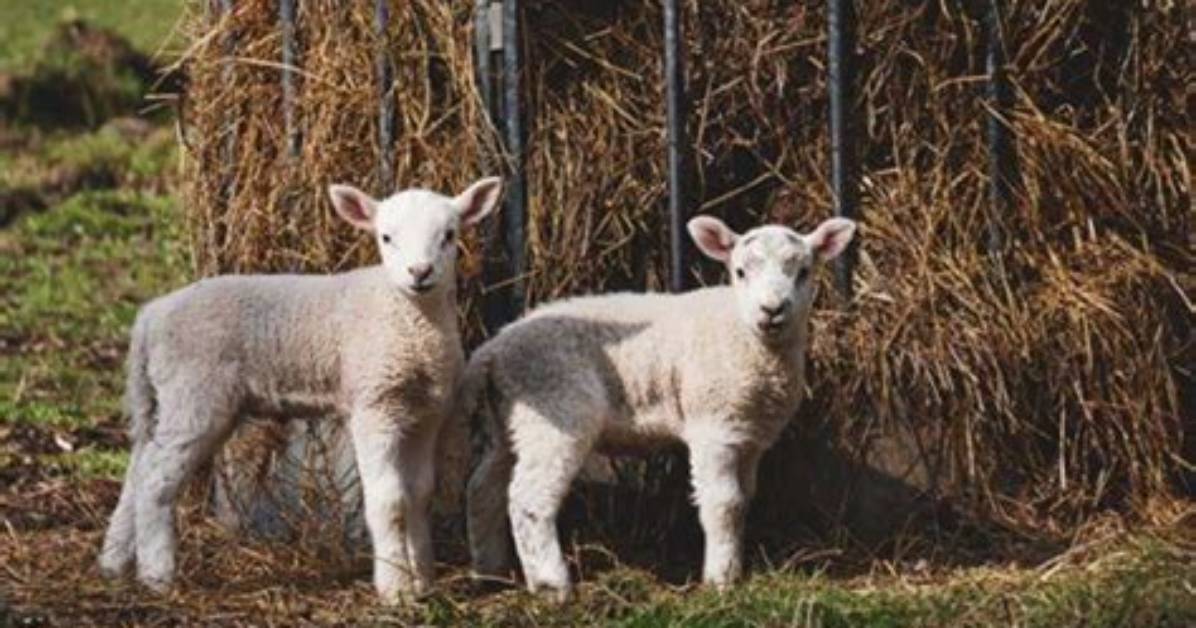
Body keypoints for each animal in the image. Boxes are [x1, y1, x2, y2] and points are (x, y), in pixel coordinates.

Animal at [97, 176, 503, 601]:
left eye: (449, 235)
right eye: (386, 237)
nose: (420, 272)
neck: (408, 319)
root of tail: (152, 315)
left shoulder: (425, 413)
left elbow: (419, 495)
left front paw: (423, 579)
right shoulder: (374, 404)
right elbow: (390, 501)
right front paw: (395, 588)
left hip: (167, 397)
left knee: (139, 468)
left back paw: (115, 562)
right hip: (194, 393)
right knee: (155, 480)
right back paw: (157, 575)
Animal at [463, 215, 857, 601]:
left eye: (803, 271)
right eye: (741, 271)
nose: (772, 310)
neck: (744, 332)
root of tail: (496, 347)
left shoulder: (748, 435)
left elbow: (743, 501)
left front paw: (734, 567)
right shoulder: (714, 426)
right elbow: (724, 504)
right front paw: (720, 581)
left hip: (514, 421)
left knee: (484, 488)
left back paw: (491, 573)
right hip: (556, 410)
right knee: (529, 498)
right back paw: (551, 586)